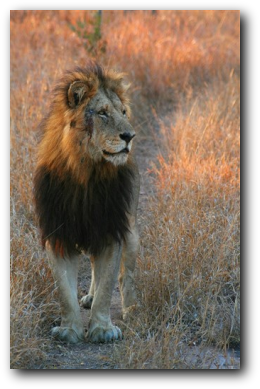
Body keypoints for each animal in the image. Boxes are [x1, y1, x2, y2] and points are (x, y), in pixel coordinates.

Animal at [34, 63, 141, 342]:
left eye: (123, 112)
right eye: (102, 113)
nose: (130, 135)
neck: (85, 173)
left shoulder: (111, 227)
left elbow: (108, 284)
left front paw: (102, 329)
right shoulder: (57, 232)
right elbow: (64, 289)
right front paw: (69, 330)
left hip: (130, 229)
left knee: (126, 275)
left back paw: (131, 309)